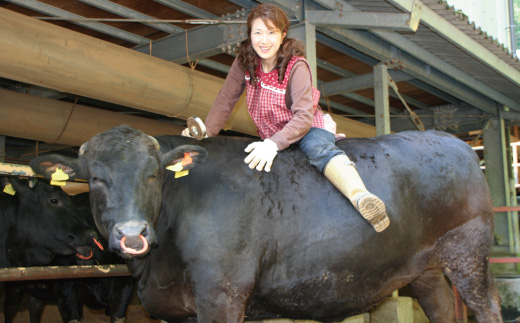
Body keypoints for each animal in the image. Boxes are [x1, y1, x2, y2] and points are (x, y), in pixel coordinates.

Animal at [30, 126, 502, 323]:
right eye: (95, 179)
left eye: (152, 174)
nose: (132, 235)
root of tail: (454, 141)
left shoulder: (221, 295)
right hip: (425, 269)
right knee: (441, 307)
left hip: (468, 250)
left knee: (487, 305)